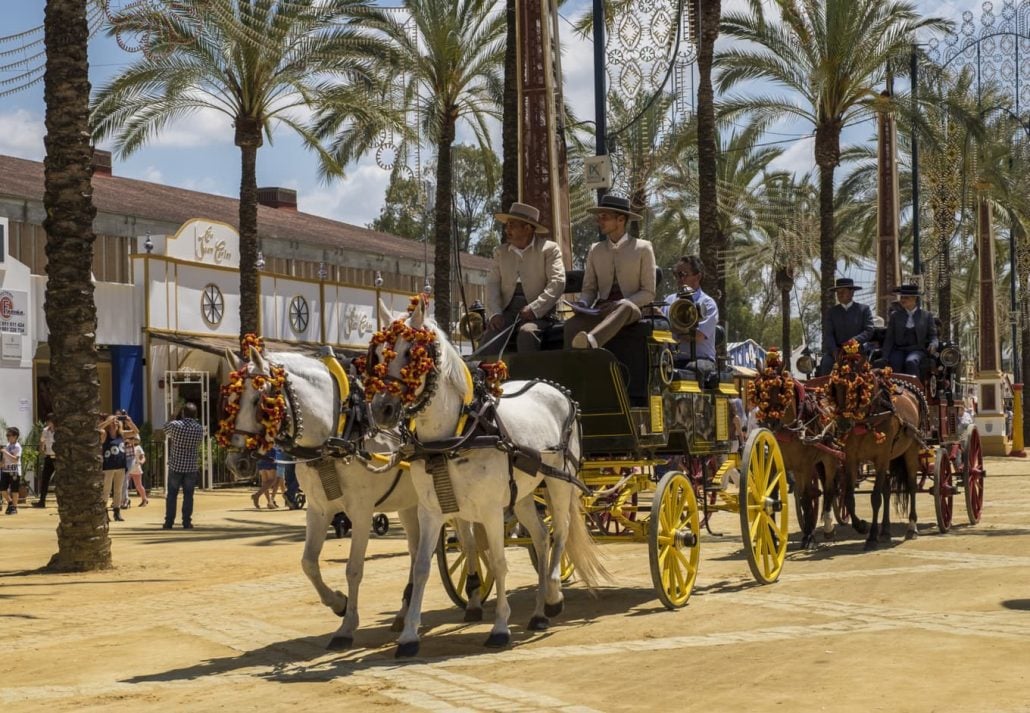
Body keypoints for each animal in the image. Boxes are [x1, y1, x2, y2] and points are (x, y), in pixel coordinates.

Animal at [366, 296, 605, 655]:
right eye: (379, 354)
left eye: (411, 354)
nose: (382, 410)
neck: (458, 432)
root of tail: (554, 388)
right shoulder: (431, 510)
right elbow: (422, 567)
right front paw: (408, 635)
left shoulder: (491, 511)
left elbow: (500, 561)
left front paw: (501, 628)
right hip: (522, 495)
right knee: (540, 537)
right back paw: (538, 613)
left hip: (560, 482)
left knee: (560, 532)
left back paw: (553, 596)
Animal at [749, 354, 844, 548]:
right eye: (759, 390)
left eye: (780, 389)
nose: (770, 423)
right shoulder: (773, 465)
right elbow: (771, 495)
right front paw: (772, 537)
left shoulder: (804, 466)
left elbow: (806, 498)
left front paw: (809, 537)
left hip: (830, 457)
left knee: (829, 489)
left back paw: (828, 527)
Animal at [824, 344, 922, 552]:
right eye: (834, 387)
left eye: (856, 387)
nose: (843, 423)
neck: (869, 416)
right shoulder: (852, 458)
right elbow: (849, 497)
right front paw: (862, 526)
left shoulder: (882, 455)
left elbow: (875, 498)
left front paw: (871, 537)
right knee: (886, 488)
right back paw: (885, 531)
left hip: (910, 450)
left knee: (911, 485)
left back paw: (911, 527)